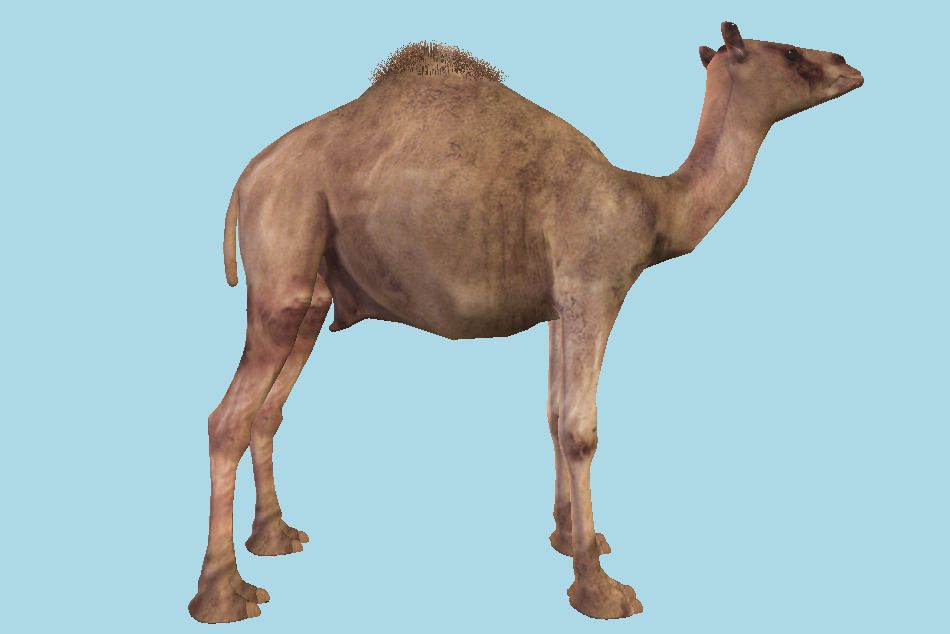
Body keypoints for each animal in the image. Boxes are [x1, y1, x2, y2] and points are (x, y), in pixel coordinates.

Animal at [189, 22, 863, 623]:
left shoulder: (560, 306)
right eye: (791, 53)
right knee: (227, 417)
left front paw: (570, 539)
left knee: (268, 410)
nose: (849, 65)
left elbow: (554, 416)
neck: (650, 207)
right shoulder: (594, 289)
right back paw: (224, 595)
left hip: (312, 292)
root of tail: (249, 176)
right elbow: (582, 430)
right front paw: (599, 587)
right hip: (284, 249)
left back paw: (274, 538)